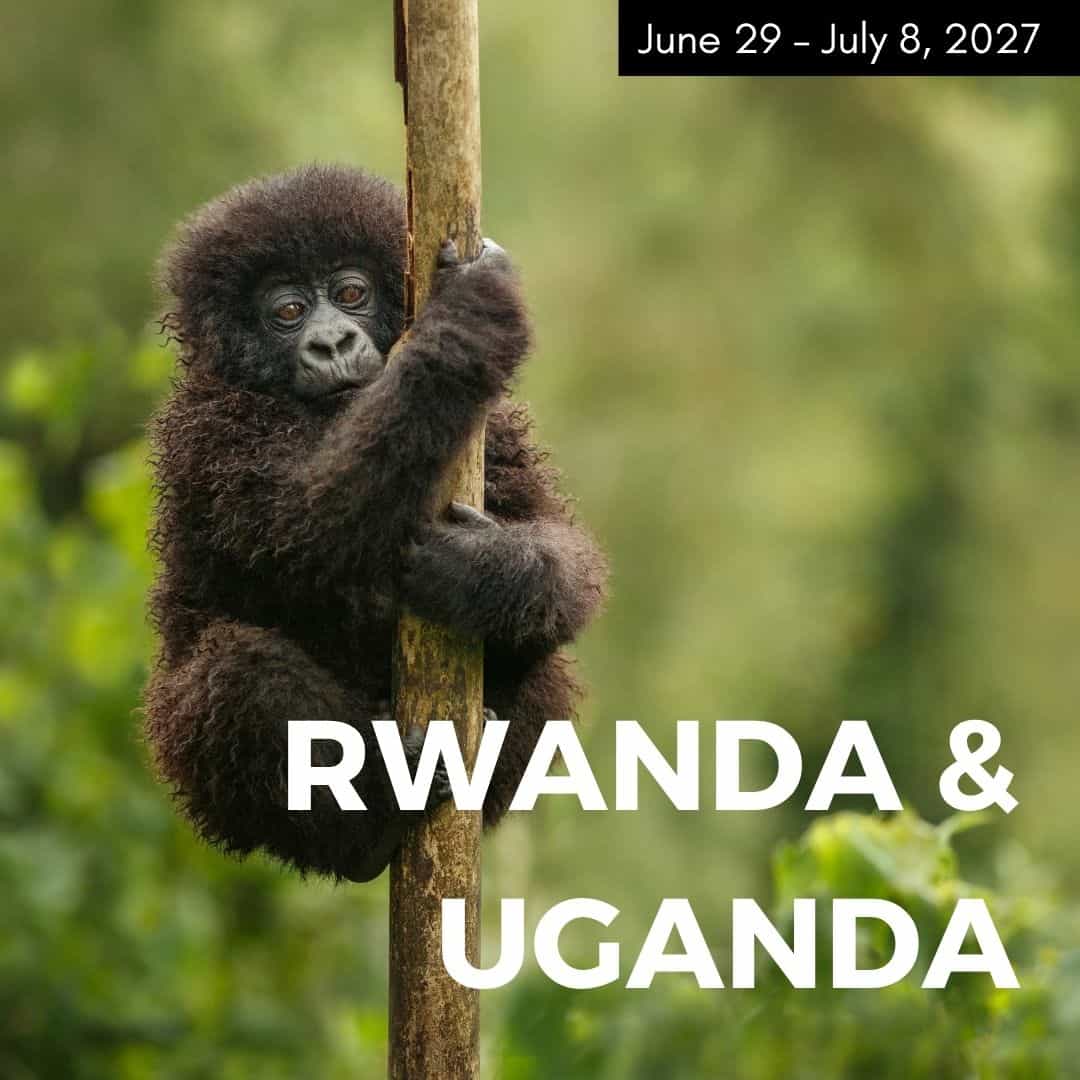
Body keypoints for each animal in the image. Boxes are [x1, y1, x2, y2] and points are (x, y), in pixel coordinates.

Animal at [143, 164, 607, 881]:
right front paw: (465, 321)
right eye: (287, 312)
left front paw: (482, 573)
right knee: (236, 674)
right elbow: (311, 524)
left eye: (351, 293)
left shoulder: (497, 428)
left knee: (544, 661)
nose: (332, 341)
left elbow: (561, 553)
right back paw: (378, 813)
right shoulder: (208, 432)